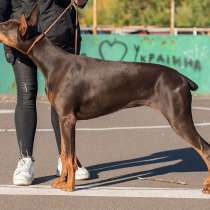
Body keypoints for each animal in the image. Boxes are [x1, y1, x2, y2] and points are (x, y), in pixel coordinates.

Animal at [0, 6, 210, 194]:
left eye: (4, 25)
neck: (53, 63)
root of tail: (183, 78)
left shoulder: (68, 118)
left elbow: (69, 156)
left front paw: (69, 186)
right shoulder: (63, 118)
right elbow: (65, 152)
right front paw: (61, 182)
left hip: (178, 118)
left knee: (204, 148)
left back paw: (207, 186)